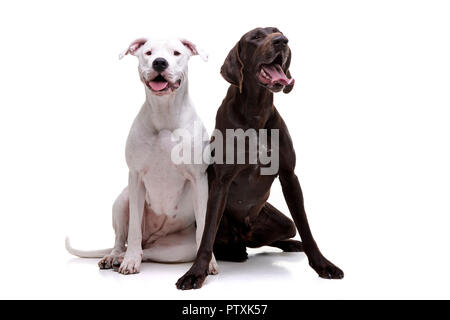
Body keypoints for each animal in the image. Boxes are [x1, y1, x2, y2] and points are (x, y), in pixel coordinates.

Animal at [67, 37, 220, 276]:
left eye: (176, 53)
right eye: (148, 53)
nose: (159, 62)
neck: (165, 113)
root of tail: (152, 239)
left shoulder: (199, 179)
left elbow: (204, 224)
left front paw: (209, 263)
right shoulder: (135, 177)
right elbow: (133, 231)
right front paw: (129, 261)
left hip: (177, 250)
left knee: (148, 252)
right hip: (122, 200)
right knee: (124, 240)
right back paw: (117, 257)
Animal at [177, 27, 344, 290]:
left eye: (279, 32)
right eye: (255, 37)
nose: (282, 41)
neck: (256, 110)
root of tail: (242, 236)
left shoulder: (289, 176)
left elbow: (305, 226)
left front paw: (322, 264)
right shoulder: (221, 183)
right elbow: (206, 235)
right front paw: (196, 272)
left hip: (280, 222)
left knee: (281, 234)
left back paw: (289, 244)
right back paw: (235, 253)